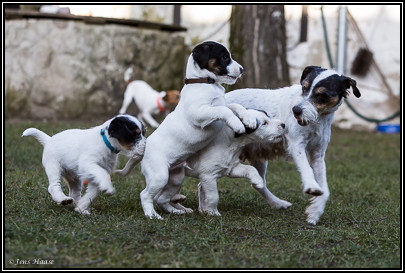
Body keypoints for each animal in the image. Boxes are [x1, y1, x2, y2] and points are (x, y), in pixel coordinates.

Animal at [137, 40, 254, 219]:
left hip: (176, 178)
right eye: (224, 57)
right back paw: (152, 215)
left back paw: (177, 211)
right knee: (145, 195)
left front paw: (248, 118)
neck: (204, 83)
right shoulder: (200, 114)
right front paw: (237, 124)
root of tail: (145, 148)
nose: (241, 70)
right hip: (160, 175)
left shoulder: (219, 104)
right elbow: (225, 110)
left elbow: (234, 106)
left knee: (162, 198)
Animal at [226, 65, 362, 223]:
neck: (317, 120)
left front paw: (315, 211)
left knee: (258, 184)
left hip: (258, 158)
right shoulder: (297, 145)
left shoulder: (318, 154)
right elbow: (306, 168)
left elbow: (325, 189)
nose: (296, 110)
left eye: (322, 94)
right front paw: (311, 185)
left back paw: (277, 203)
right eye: (304, 87)